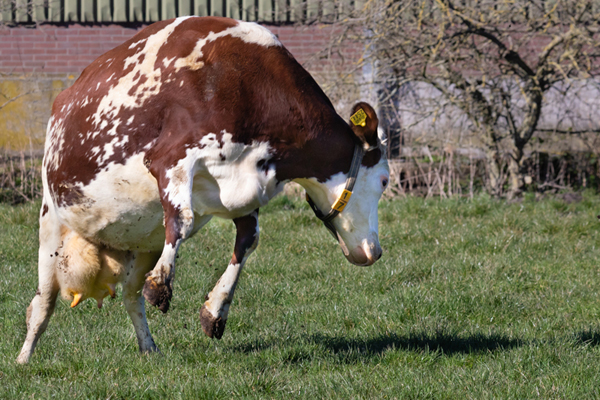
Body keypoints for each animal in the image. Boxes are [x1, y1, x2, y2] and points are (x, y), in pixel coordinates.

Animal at [16, 16, 390, 366]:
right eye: (385, 180)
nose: (375, 250)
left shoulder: (248, 188)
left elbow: (248, 241)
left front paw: (215, 311)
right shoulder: (171, 158)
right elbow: (181, 218)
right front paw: (162, 284)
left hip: (142, 241)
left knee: (130, 296)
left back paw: (149, 348)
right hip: (51, 223)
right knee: (42, 304)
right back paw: (23, 359)